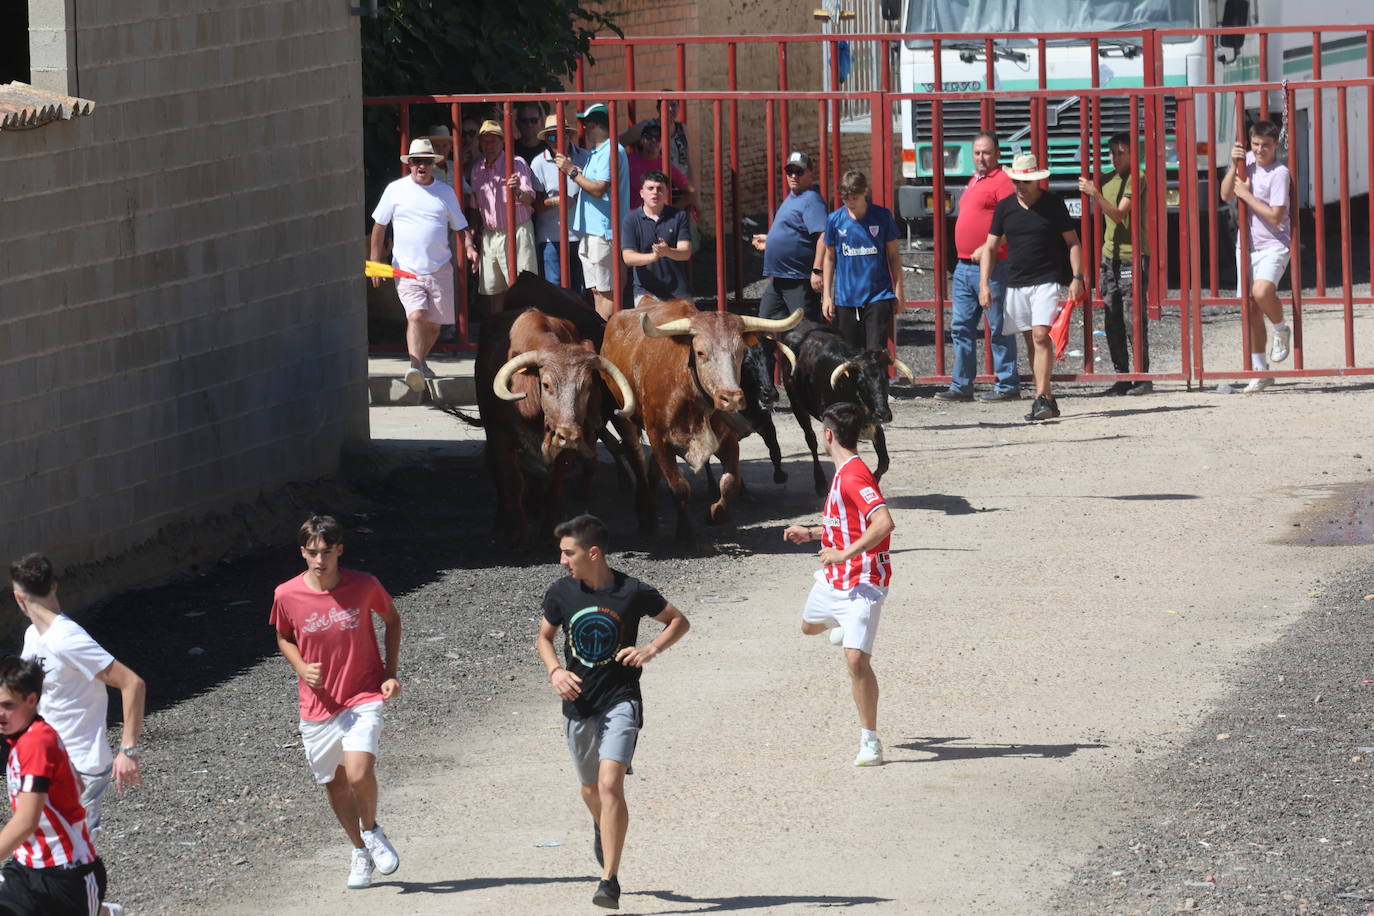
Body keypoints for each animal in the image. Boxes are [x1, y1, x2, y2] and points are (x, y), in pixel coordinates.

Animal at [604, 300, 802, 549]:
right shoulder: (660, 441)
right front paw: (685, 533)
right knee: (638, 463)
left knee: (652, 472)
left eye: (740, 353)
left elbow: (730, 482)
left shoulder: (727, 439)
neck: (689, 392)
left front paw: (716, 513)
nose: (731, 398)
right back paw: (646, 515)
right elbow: (679, 488)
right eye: (700, 352)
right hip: (624, 422)